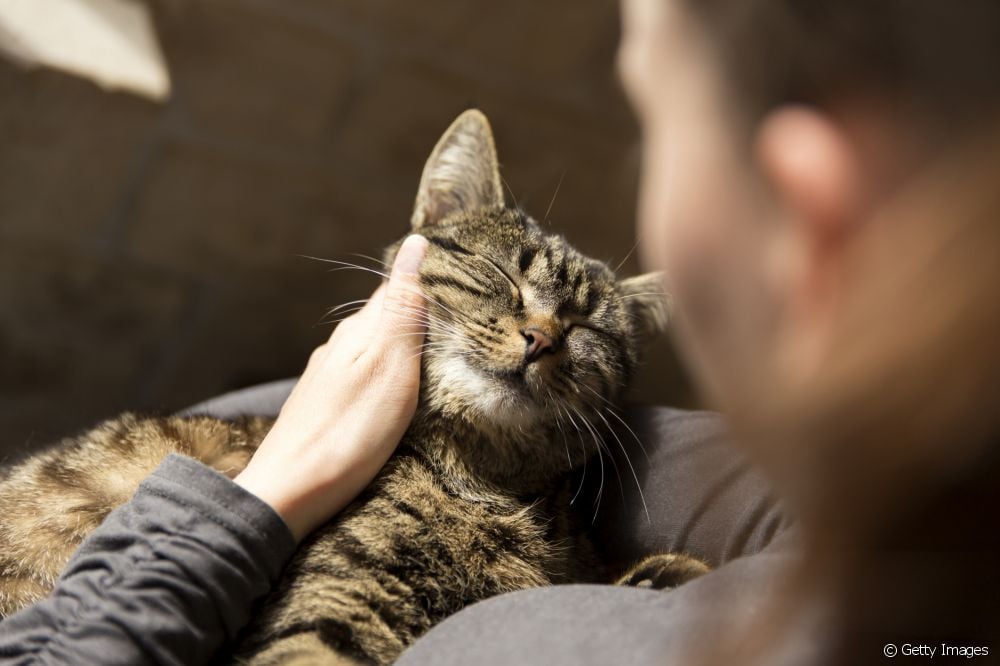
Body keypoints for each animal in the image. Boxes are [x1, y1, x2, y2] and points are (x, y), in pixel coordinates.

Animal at [0, 111, 708, 660]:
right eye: (501, 273)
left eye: (588, 327)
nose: (540, 337)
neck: (485, 485)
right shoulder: (335, 601)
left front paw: (665, 578)